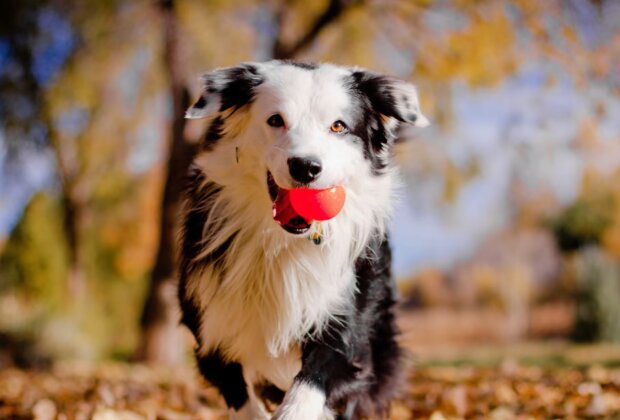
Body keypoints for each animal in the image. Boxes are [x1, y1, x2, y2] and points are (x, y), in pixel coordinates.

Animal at [177, 60, 428, 420]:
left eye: (338, 126)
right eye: (275, 120)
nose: (306, 166)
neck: (283, 244)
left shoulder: (344, 326)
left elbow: (308, 389)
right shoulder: (211, 328)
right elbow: (242, 398)